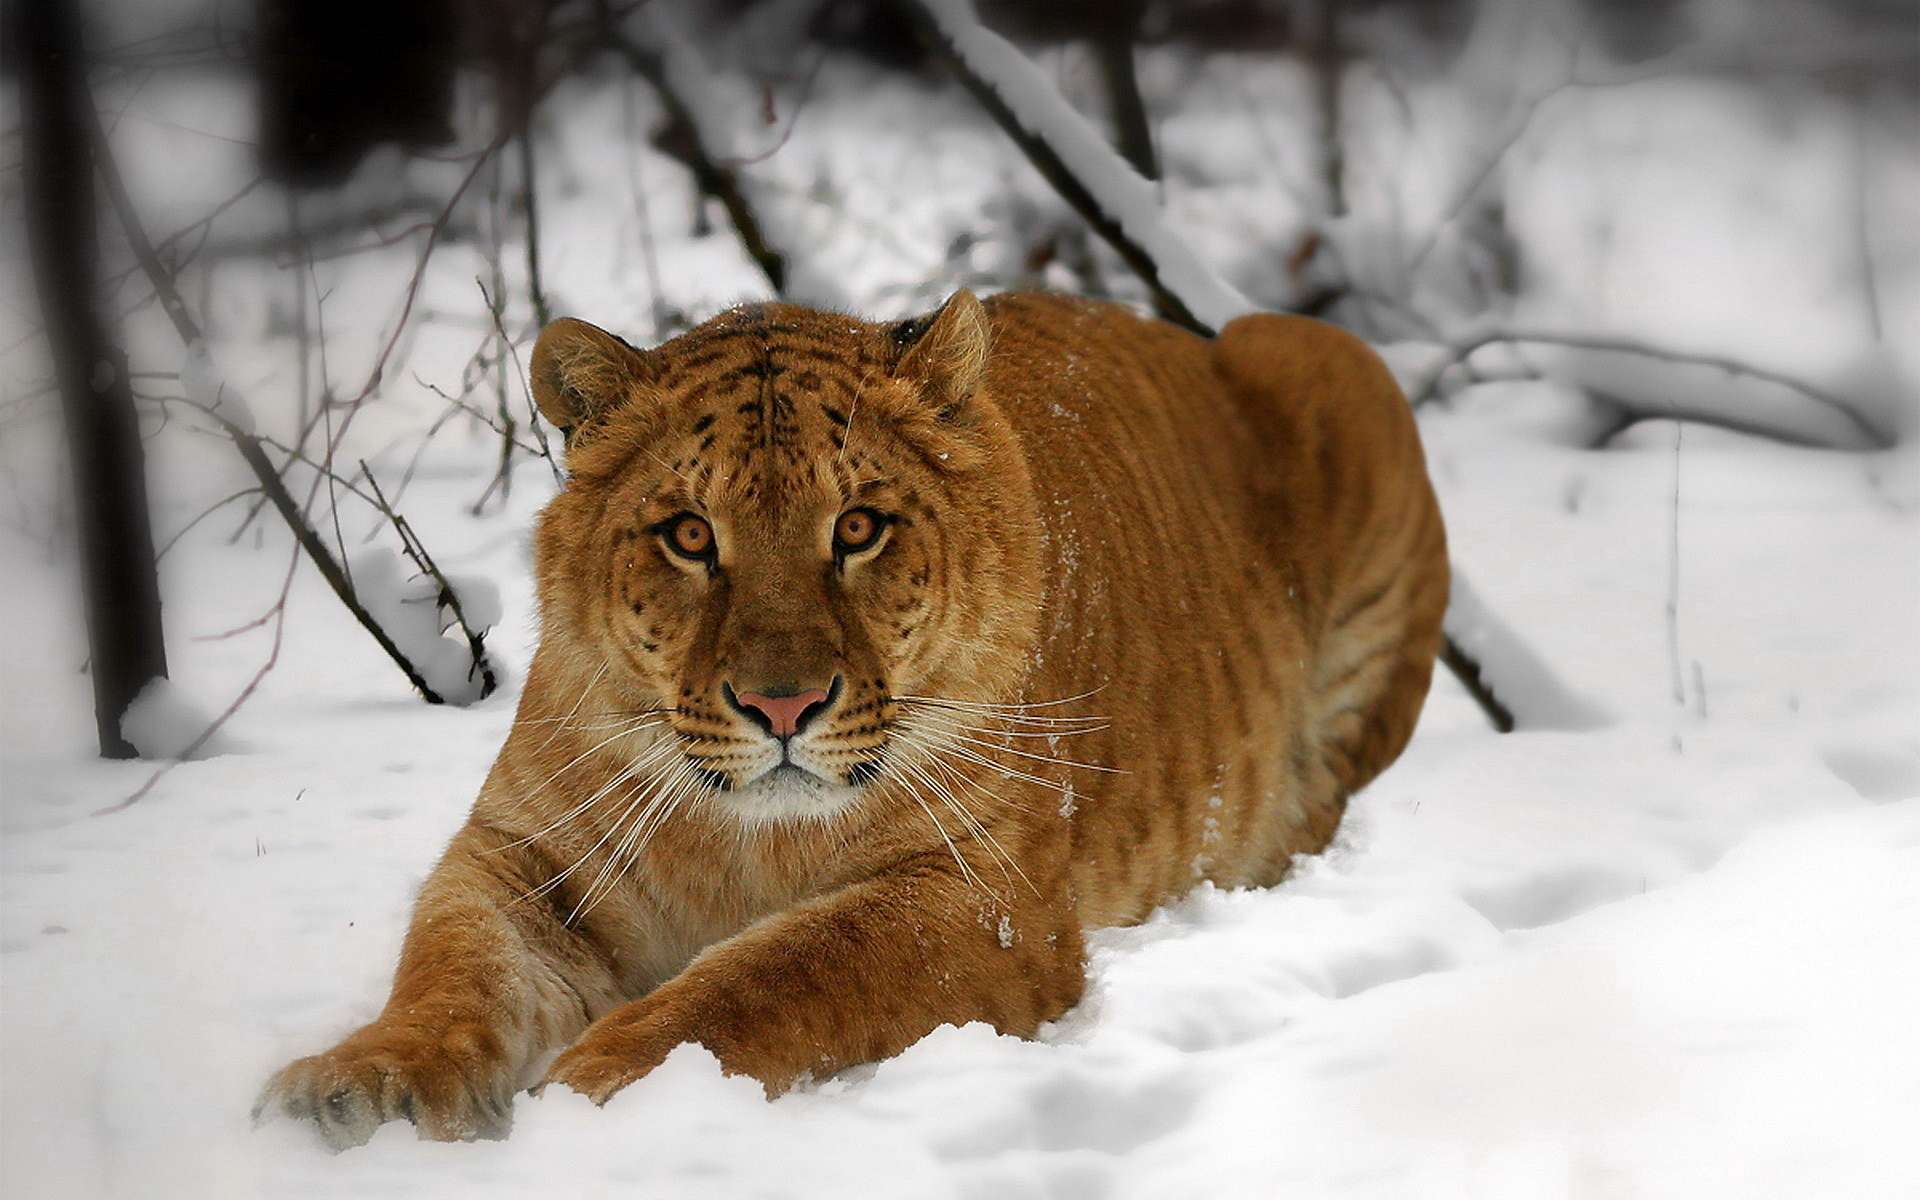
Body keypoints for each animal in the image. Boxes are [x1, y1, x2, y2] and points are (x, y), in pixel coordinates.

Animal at [259, 286, 1451, 1144]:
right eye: (689, 536)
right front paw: (358, 1084)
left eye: (861, 527)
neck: (738, 840)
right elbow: (454, 967)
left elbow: (770, 974)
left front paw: (607, 1086)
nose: (780, 705)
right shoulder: (524, 854)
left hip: (1324, 361)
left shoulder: (984, 898)